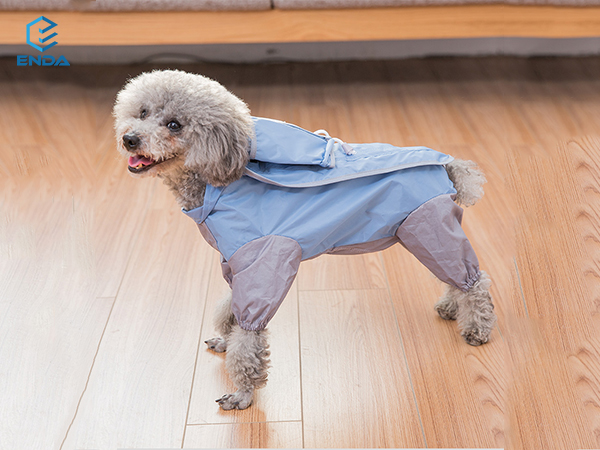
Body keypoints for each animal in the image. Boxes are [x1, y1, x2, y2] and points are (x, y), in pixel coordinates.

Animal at [112, 69, 496, 412]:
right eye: (142, 113)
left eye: (174, 125)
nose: (130, 139)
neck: (219, 183)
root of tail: (450, 167)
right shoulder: (234, 262)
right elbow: (231, 310)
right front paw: (226, 338)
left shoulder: (265, 262)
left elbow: (249, 336)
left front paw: (243, 394)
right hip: (423, 231)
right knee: (456, 278)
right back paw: (451, 307)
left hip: (428, 226)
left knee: (473, 281)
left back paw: (477, 328)